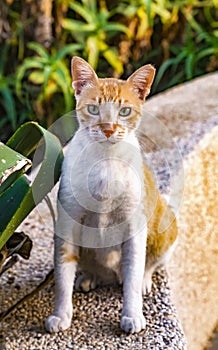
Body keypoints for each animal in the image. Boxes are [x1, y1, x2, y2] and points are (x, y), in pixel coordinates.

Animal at [44, 56, 177, 334]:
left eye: (124, 111)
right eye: (94, 109)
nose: (107, 129)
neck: (105, 161)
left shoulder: (134, 227)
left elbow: (134, 272)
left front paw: (132, 314)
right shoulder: (68, 224)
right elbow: (62, 273)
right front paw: (61, 315)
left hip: (167, 227)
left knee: (148, 264)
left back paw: (143, 280)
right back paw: (89, 277)